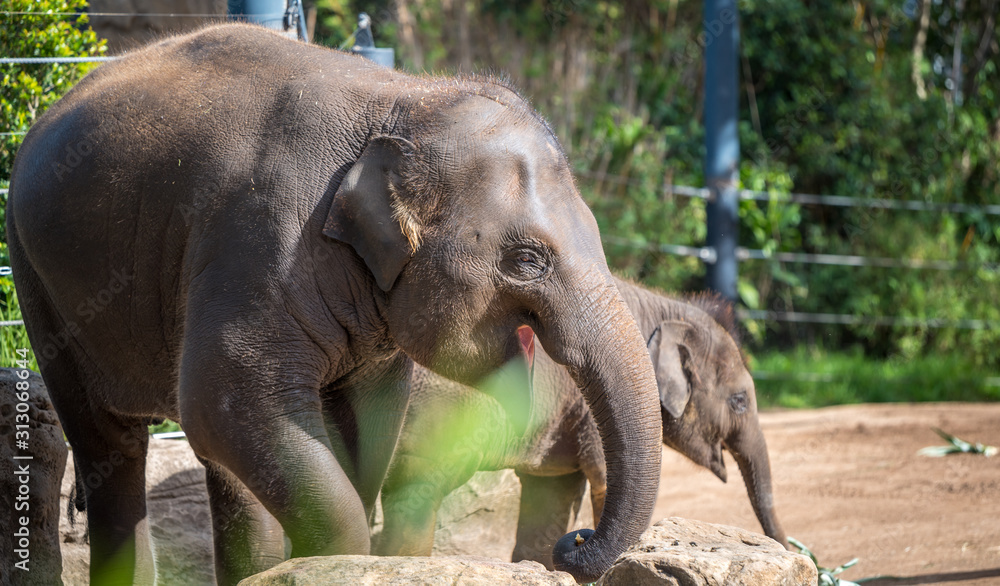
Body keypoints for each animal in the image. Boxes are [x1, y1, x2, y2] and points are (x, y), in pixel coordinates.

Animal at [6, 24, 662, 585]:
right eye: (528, 259)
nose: (574, 545)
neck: (406, 100)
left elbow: (366, 423)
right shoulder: (257, 243)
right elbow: (224, 399)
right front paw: (331, 560)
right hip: (39, 280)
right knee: (113, 445)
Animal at [377, 277, 788, 567]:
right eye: (739, 401)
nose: (797, 551)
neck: (657, 308)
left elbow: (551, 494)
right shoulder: (594, 412)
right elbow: (604, 480)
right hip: (435, 415)